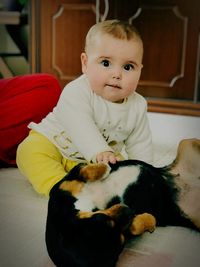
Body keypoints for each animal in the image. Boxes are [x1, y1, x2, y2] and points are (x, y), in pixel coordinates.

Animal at [45, 139, 200, 266]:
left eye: (100, 217)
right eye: (122, 243)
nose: (130, 210)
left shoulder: (64, 183)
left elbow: (85, 170)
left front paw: (105, 166)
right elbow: (136, 227)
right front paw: (148, 221)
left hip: (186, 143)